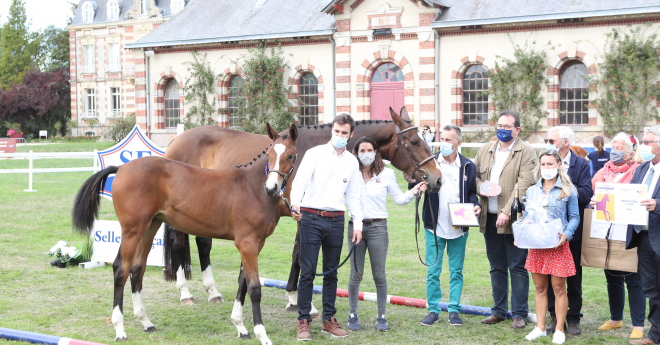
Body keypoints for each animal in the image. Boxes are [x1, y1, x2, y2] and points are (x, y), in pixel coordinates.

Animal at [71, 122, 296, 342]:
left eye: (290, 156)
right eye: (270, 154)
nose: (271, 188)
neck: (252, 187)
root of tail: (121, 168)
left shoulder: (256, 243)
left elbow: (243, 283)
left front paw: (240, 327)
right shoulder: (247, 243)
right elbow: (254, 287)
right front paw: (262, 335)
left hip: (149, 228)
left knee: (137, 269)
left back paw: (145, 322)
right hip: (131, 231)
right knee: (121, 269)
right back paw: (120, 329)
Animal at [162, 107, 440, 312]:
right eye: (414, 141)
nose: (436, 178)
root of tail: (176, 140)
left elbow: (299, 253)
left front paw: (294, 297)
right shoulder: (302, 214)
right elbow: (301, 254)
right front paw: (298, 301)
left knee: (202, 242)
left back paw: (213, 291)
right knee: (179, 242)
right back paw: (186, 292)